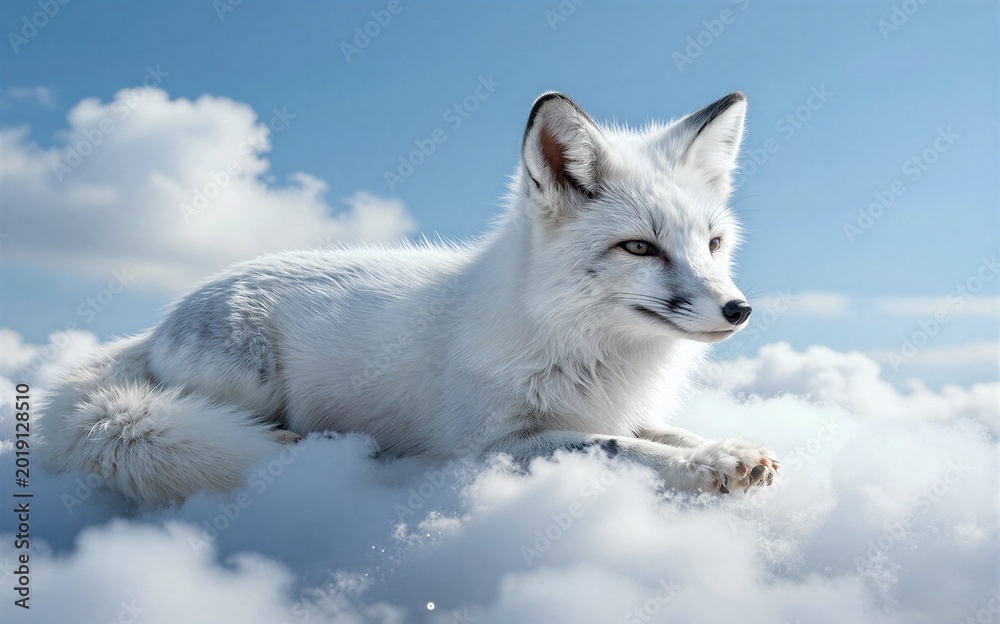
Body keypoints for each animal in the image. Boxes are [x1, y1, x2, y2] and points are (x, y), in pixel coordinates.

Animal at [38, 91, 779, 506]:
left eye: (712, 243)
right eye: (639, 248)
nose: (738, 311)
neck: (581, 346)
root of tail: (155, 326)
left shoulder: (618, 410)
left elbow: (661, 433)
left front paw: (726, 453)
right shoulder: (487, 447)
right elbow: (616, 449)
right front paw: (697, 468)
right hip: (247, 379)